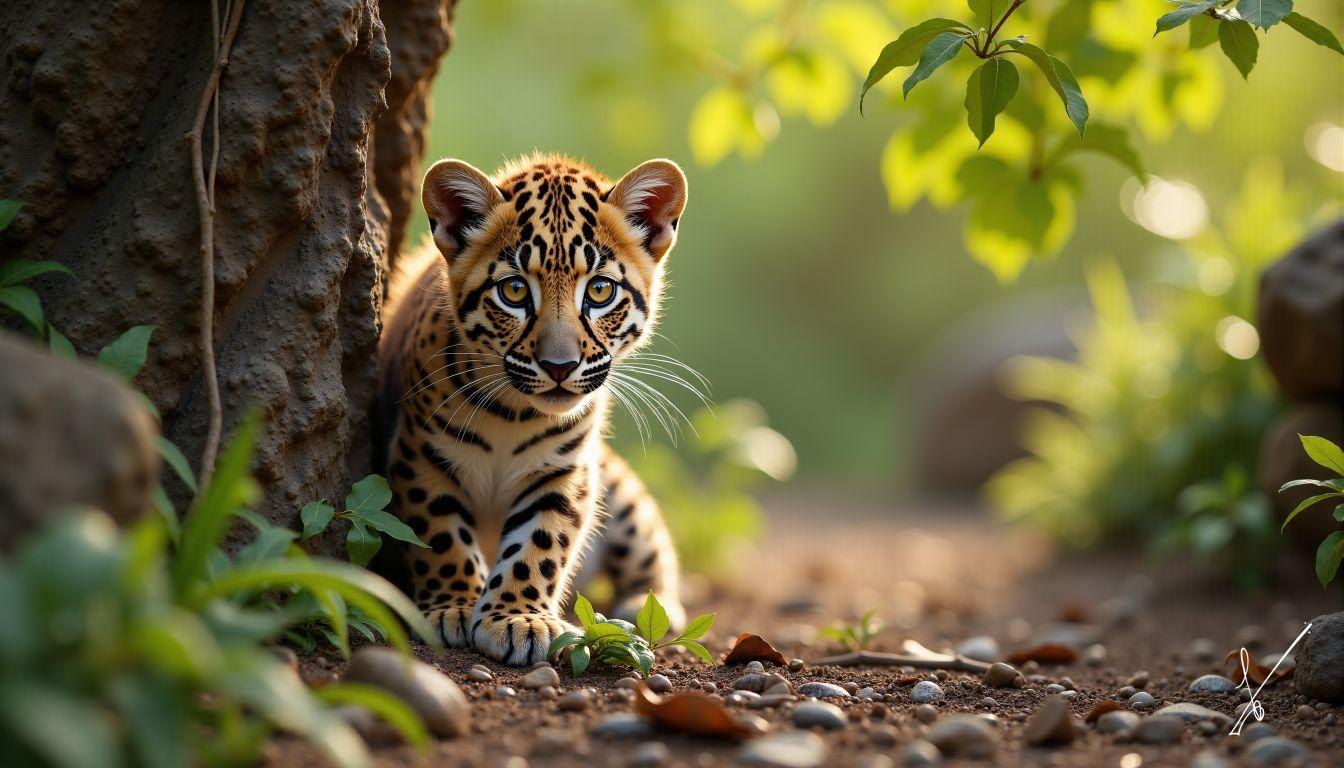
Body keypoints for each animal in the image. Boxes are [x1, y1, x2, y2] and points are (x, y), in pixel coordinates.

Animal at [376, 153, 690, 665]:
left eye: (599, 291)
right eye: (515, 292)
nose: (559, 366)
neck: (513, 414)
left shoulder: (565, 472)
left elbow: (540, 544)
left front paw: (517, 620)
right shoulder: (420, 455)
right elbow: (441, 534)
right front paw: (454, 606)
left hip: (620, 493)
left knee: (652, 548)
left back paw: (644, 606)